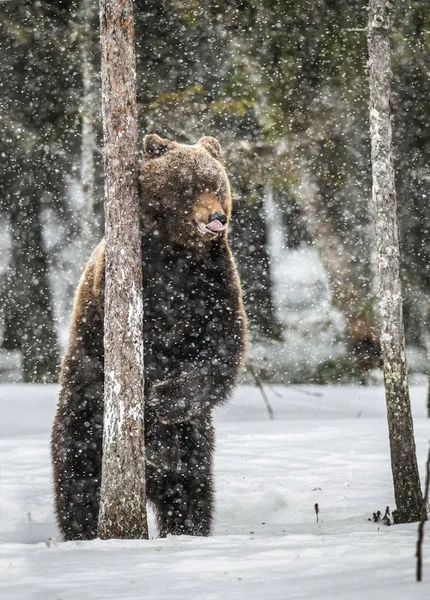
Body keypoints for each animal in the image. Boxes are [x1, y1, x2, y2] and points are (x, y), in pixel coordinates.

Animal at [51, 134, 245, 540]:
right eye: (188, 186)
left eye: (217, 186)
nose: (216, 218)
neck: (178, 252)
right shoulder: (127, 278)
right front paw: (149, 390)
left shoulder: (215, 281)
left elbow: (222, 349)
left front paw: (162, 398)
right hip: (82, 415)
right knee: (77, 480)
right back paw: (82, 533)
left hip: (192, 441)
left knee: (191, 489)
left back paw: (187, 529)